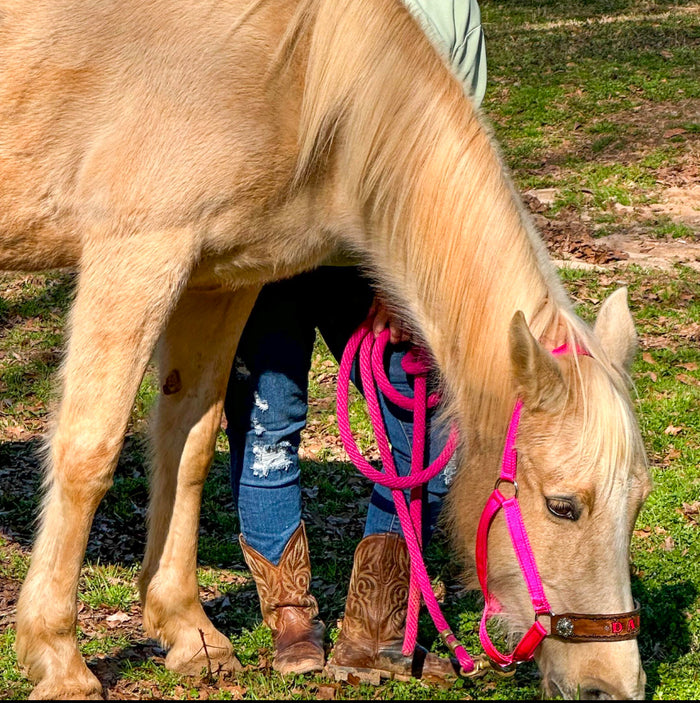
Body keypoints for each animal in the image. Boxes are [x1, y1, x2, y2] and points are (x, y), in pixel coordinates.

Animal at [0, 0, 651, 699]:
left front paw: (188, 632)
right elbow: (87, 456)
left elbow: (188, 447)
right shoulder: (136, 252)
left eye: (637, 503)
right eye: (562, 507)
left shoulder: (217, 280)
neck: (295, 72)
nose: (611, 685)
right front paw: (60, 660)